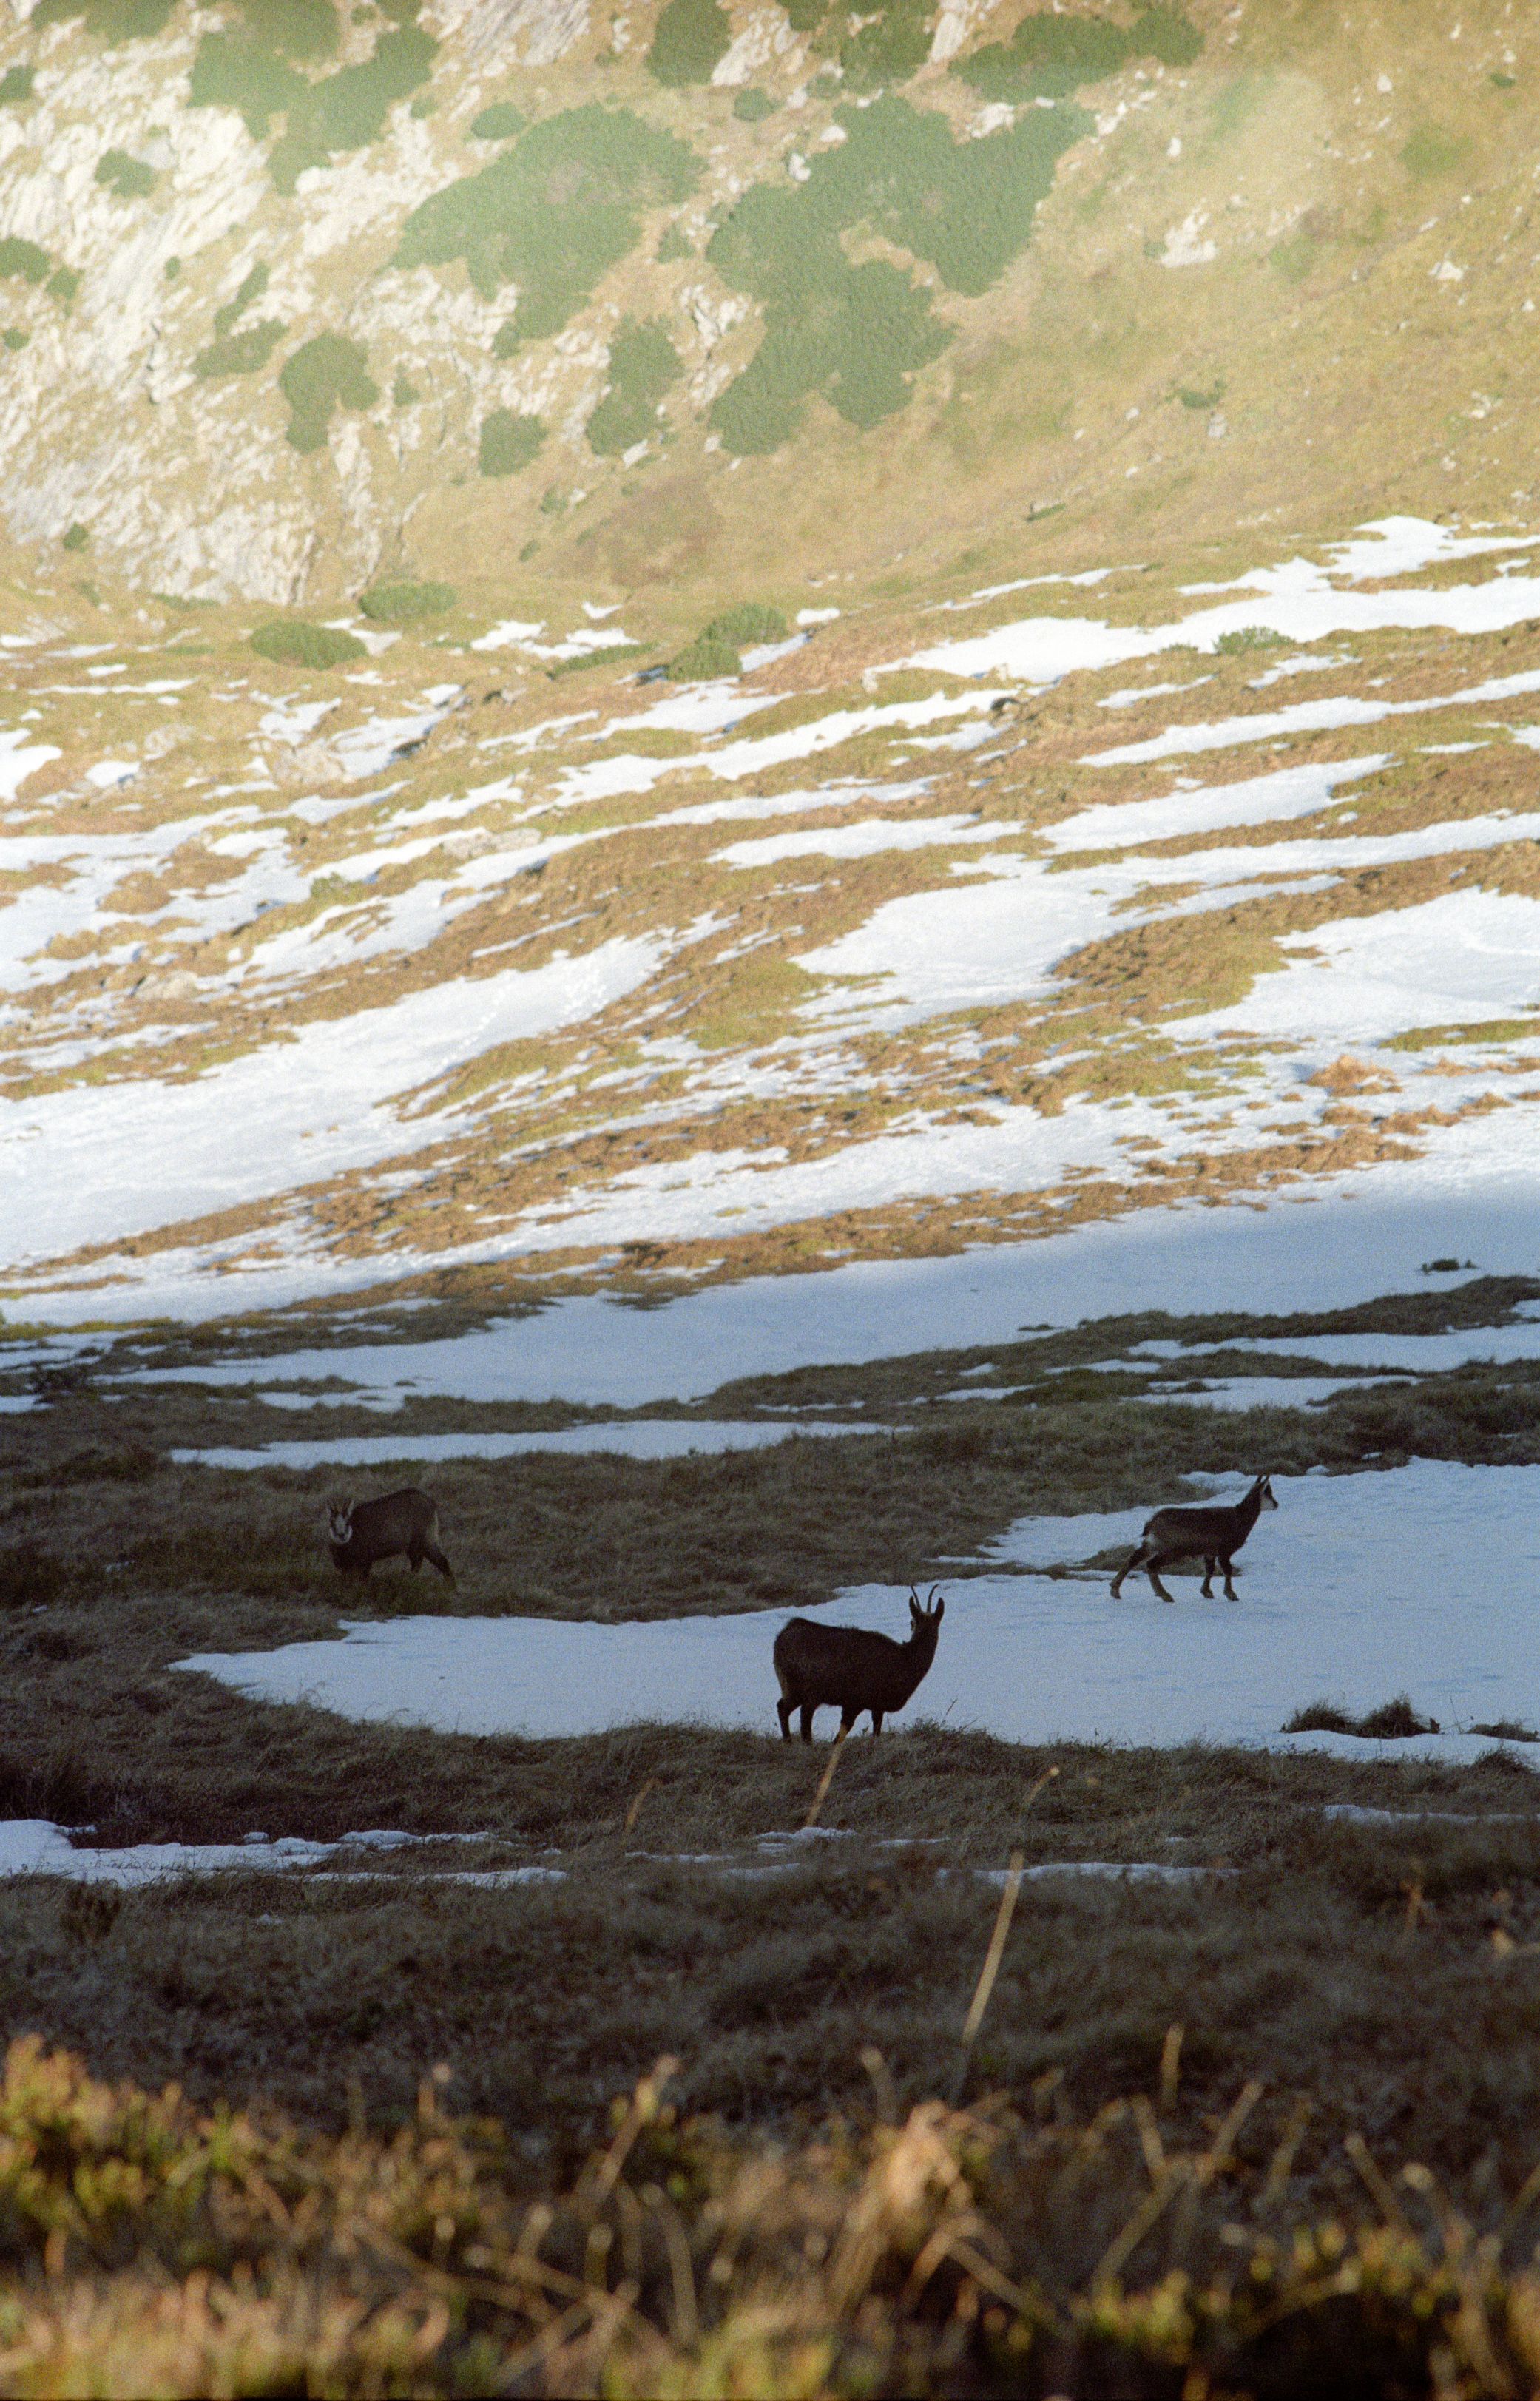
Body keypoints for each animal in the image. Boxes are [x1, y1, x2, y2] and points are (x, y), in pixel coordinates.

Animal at [326, 1488, 454, 1583]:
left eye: (348, 1522)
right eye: (331, 1522)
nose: (341, 1535)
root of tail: (430, 1502)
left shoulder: (365, 1560)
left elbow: (363, 1578)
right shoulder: (347, 1568)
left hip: (426, 1541)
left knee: (442, 1562)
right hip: (413, 1546)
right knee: (417, 1564)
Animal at [773, 1586, 945, 1742]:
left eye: (912, 1622)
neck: (906, 1662)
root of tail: (780, 1639)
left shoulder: (877, 1705)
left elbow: (875, 1730)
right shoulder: (857, 1700)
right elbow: (843, 1735)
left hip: (793, 1688)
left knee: (784, 1708)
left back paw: (790, 1741)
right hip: (805, 1688)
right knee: (799, 1716)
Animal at [1110, 1474, 1277, 1603]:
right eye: (1268, 1492)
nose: (1276, 1504)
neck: (1241, 1518)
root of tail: (1153, 1522)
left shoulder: (1210, 1552)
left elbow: (1210, 1570)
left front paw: (1207, 1592)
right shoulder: (1224, 1550)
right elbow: (1227, 1570)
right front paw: (1231, 1594)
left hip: (1154, 1543)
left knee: (1134, 1558)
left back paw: (1115, 1590)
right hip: (1172, 1549)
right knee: (1151, 1564)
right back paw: (1165, 1595)